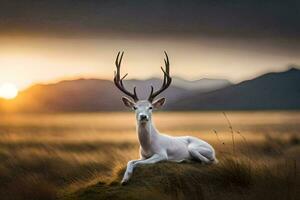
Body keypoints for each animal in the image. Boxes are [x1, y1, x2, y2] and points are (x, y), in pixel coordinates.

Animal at [113, 51, 217, 184]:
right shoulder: (142, 156)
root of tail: (213, 149)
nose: (143, 116)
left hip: (195, 148)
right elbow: (131, 161)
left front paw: (126, 178)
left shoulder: (161, 154)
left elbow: (138, 163)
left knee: (208, 161)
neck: (148, 146)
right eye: (135, 107)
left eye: (150, 107)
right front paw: (124, 179)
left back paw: (185, 160)